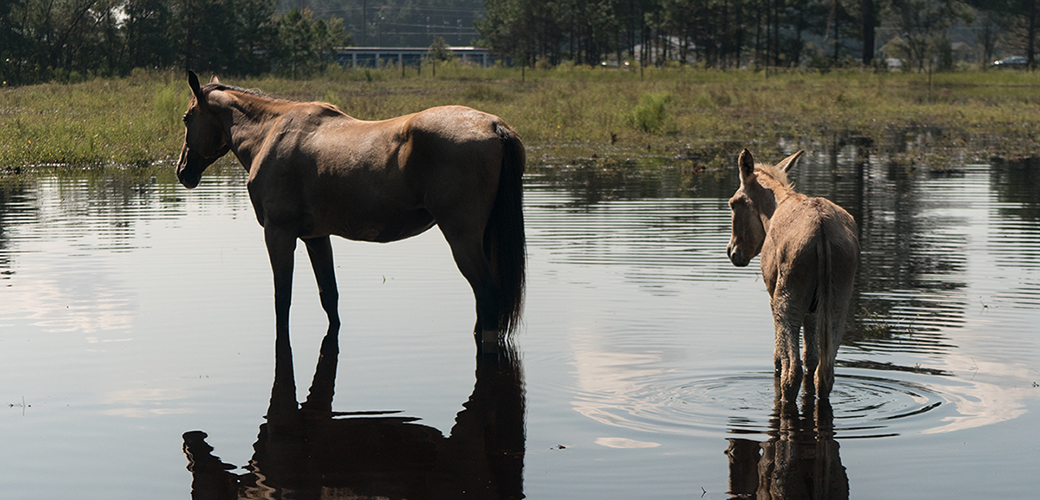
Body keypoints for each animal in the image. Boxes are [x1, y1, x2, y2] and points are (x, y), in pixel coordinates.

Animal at [175, 71, 528, 351]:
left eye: (186, 118)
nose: (183, 172)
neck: (269, 133)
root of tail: (494, 126)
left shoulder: (279, 233)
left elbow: (282, 299)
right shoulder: (316, 237)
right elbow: (329, 296)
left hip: (462, 237)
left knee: (486, 292)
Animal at [723, 148, 861, 401]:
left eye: (733, 204)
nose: (732, 251)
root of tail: (822, 229)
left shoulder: (772, 298)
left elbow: (778, 356)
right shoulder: (813, 310)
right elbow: (811, 357)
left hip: (787, 299)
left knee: (792, 373)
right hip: (838, 302)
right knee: (824, 373)